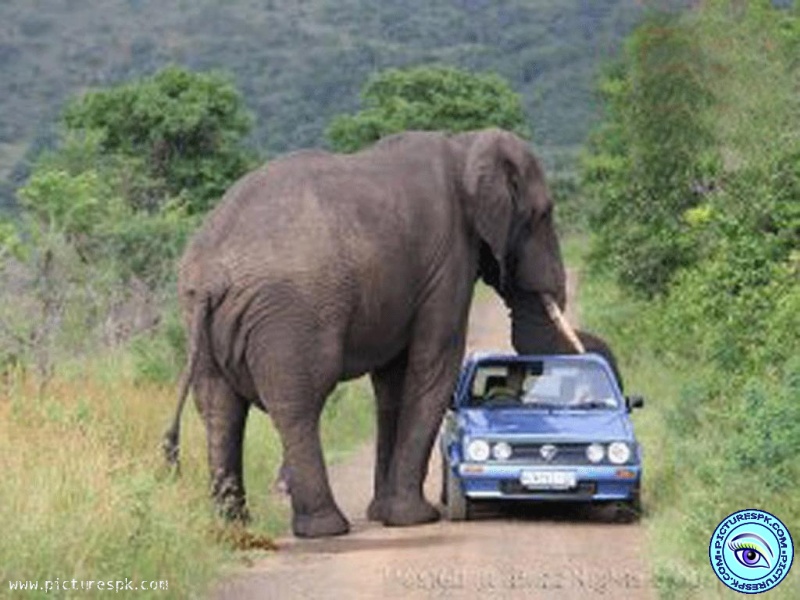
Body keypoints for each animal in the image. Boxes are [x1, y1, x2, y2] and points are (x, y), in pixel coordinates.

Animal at [162, 127, 580, 540]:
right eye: (544, 214)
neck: (464, 145)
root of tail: (211, 275)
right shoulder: (448, 261)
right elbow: (434, 365)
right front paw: (415, 518)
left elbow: (392, 384)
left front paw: (384, 513)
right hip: (290, 315)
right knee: (299, 403)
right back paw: (325, 528)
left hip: (200, 318)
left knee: (220, 409)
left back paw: (233, 528)